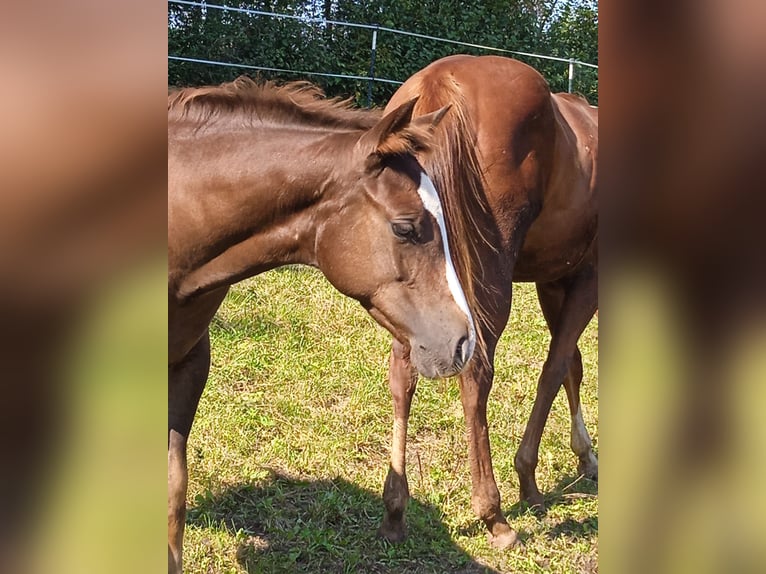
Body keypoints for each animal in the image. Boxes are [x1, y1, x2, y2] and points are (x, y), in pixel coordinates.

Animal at [378, 55, 600, 548]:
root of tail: (440, 82)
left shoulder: (554, 282)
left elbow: (570, 366)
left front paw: (584, 455)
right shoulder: (588, 280)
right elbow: (556, 368)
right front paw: (530, 478)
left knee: (403, 375)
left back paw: (395, 510)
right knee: (476, 374)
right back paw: (493, 513)